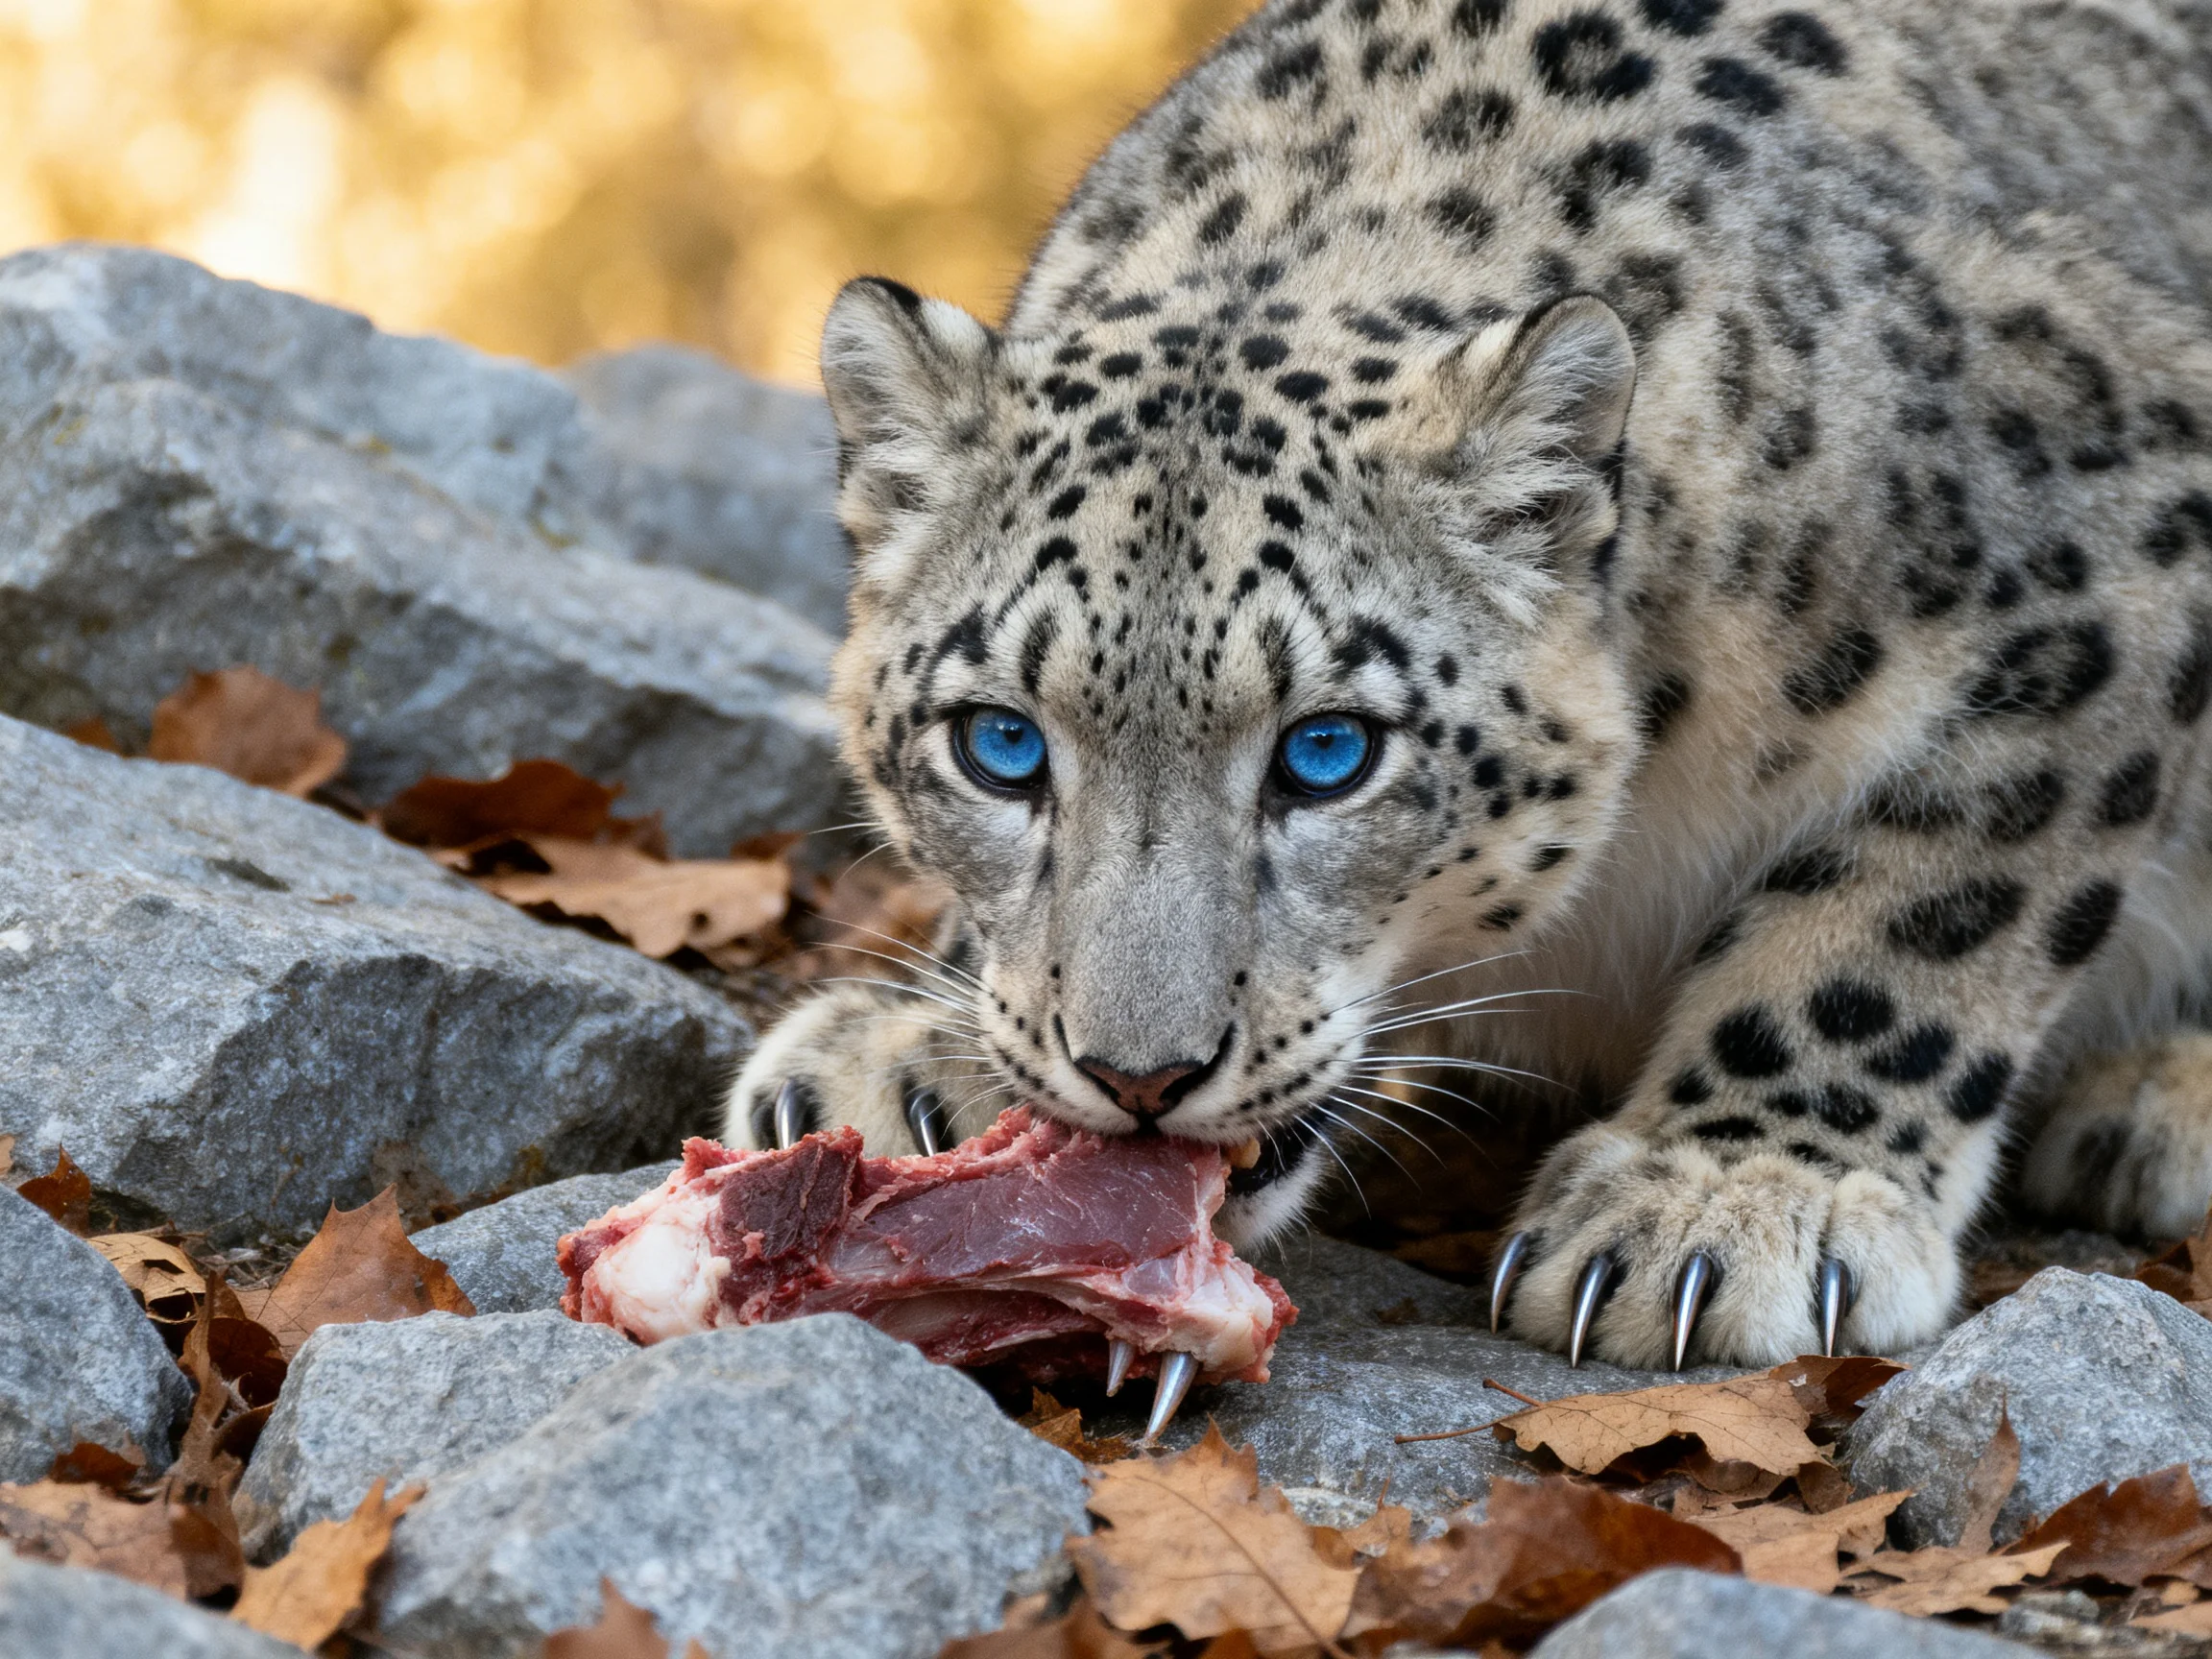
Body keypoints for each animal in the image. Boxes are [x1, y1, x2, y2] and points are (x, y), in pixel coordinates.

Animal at [722, 0, 2212, 1368]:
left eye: (1327, 751)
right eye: (1001, 744)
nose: (1140, 1076)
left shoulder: (2103, 575)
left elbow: (1910, 918)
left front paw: (1730, 1198)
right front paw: (908, 1062)